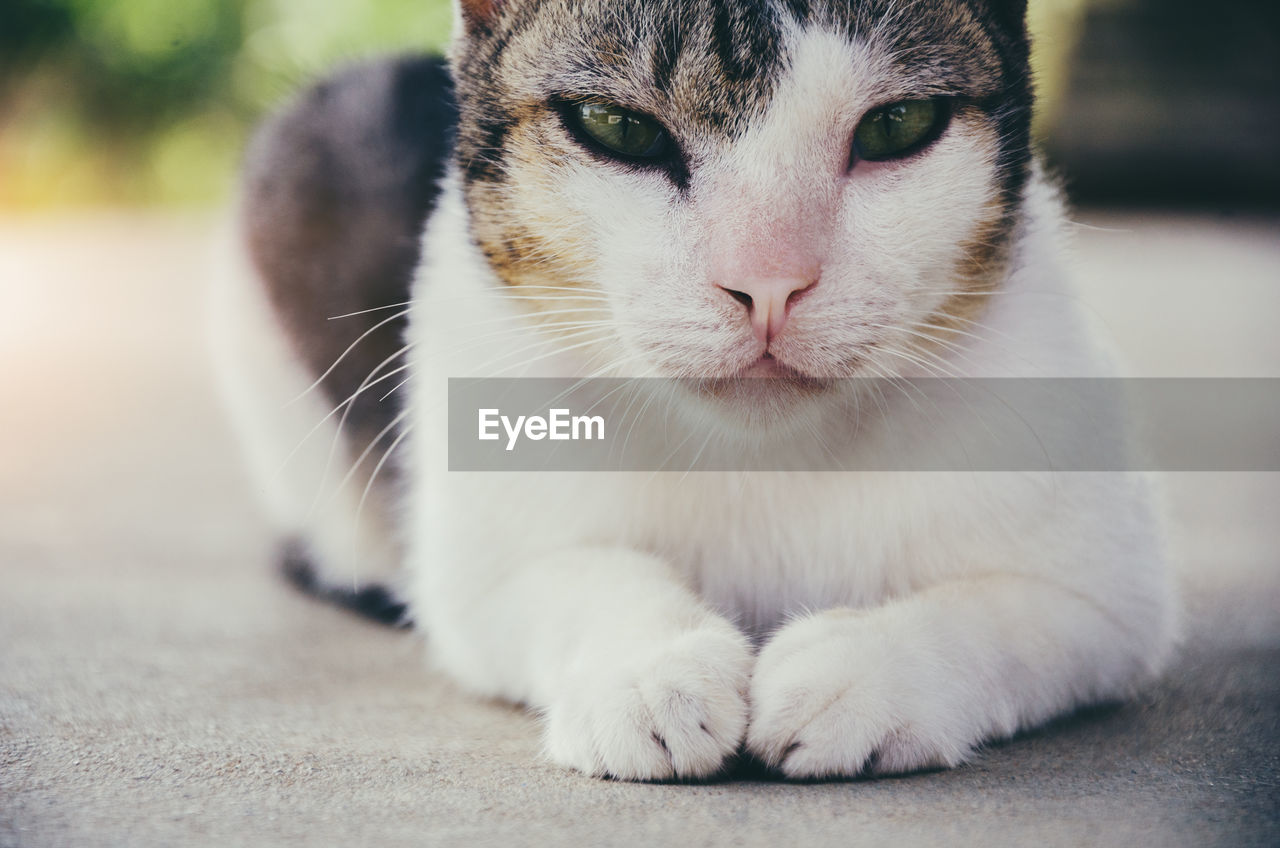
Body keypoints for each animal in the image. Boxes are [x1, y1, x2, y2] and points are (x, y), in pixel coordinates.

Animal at [212, 0, 1177, 783]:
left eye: (898, 124)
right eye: (618, 128)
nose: (769, 282)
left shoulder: (1113, 600)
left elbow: (1006, 614)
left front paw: (863, 669)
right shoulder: (472, 573)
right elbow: (574, 574)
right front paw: (650, 667)